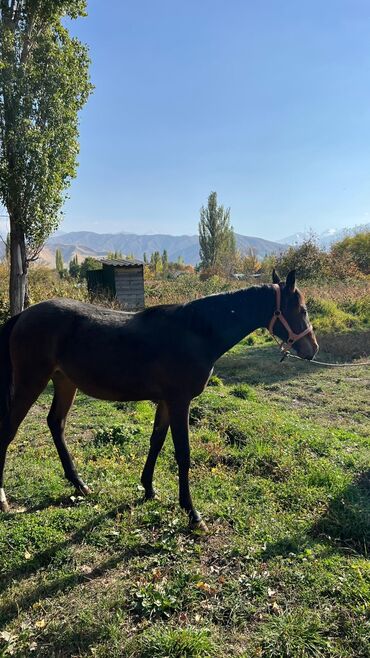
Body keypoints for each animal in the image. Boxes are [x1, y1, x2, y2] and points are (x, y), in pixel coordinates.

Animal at [0, 270, 318, 524]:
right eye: (302, 309)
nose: (312, 349)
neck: (195, 332)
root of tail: (23, 315)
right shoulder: (180, 401)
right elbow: (183, 453)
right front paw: (192, 513)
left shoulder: (166, 402)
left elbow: (156, 441)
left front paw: (149, 489)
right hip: (31, 381)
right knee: (9, 431)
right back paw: (4, 500)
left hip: (65, 382)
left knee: (56, 423)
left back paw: (79, 483)